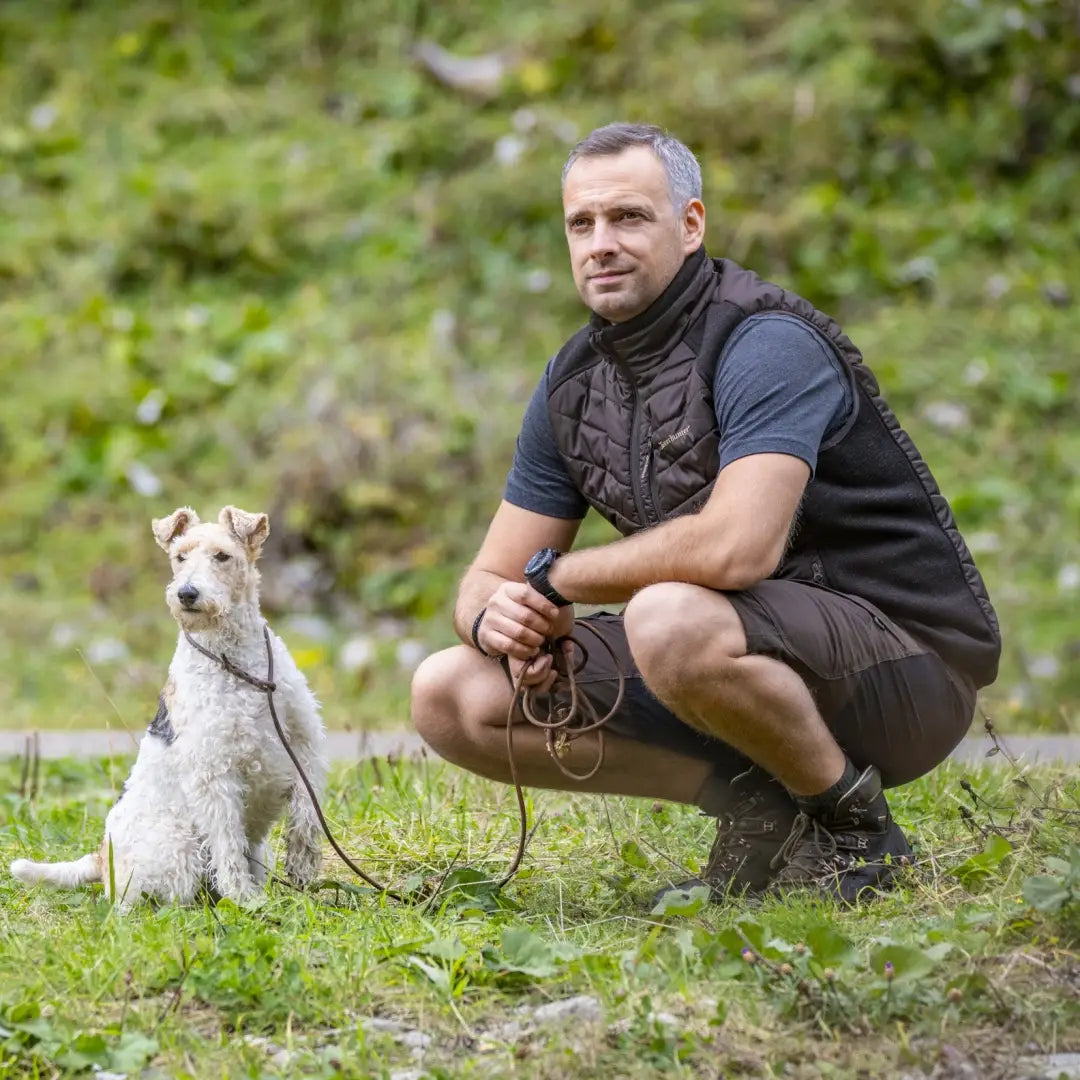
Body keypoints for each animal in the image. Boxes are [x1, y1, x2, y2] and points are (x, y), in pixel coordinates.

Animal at [9, 505, 328, 911]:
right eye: (180, 557)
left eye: (222, 556)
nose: (187, 593)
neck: (237, 662)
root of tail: (99, 859)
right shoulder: (214, 774)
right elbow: (228, 845)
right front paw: (244, 900)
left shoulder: (304, 747)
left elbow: (306, 815)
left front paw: (302, 868)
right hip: (178, 850)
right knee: (147, 901)